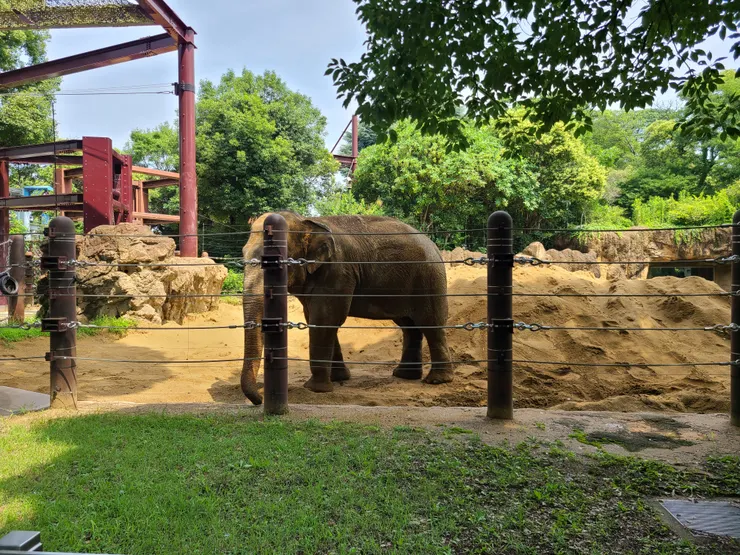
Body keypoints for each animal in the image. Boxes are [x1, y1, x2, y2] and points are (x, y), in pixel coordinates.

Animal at [240, 211, 453, 405]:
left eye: (276, 261)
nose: (259, 400)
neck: (307, 222)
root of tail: (434, 245)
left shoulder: (337, 272)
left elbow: (324, 320)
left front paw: (315, 389)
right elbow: (317, 319)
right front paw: (339, 379)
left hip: (429, 280)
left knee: (431, 324)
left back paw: (437, 380)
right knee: (409, 326)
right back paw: (404, 375)